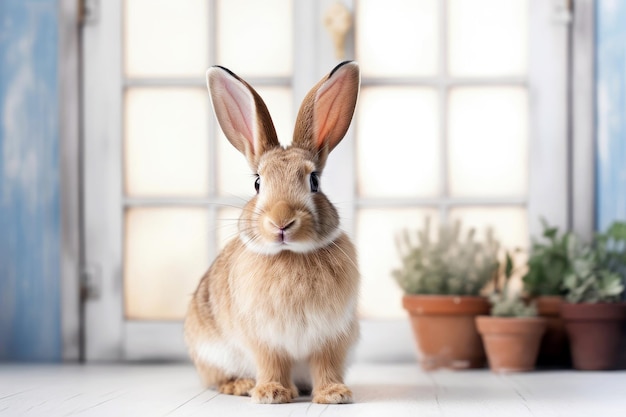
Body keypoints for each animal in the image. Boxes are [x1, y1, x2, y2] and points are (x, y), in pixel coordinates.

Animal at [184, 61, 360, 404]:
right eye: (257, 183)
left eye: (314, 181)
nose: (282, 222)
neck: (289, 255)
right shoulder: (263, 339)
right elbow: (271, 362)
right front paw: (272, 394)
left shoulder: (332, 336)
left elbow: (326, 364)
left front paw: (334, 394)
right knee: (217, 378)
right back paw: (240, 386)